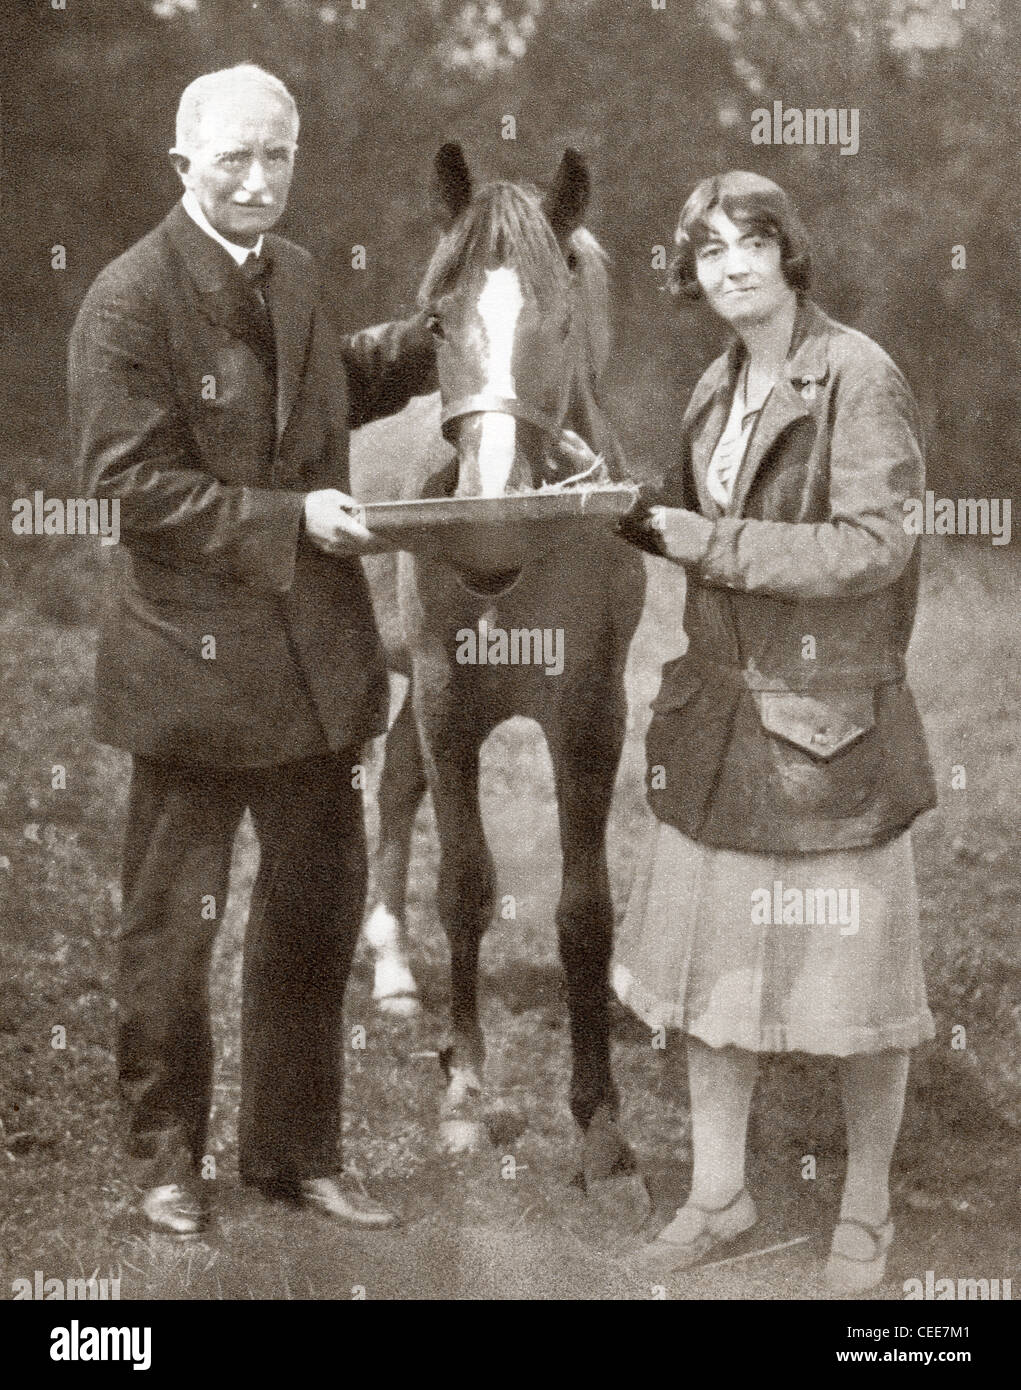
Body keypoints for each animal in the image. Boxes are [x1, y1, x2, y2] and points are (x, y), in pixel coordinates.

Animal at [351, 143, 647, 1195]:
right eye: (438, 322)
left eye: (561, 321)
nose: (485, 521)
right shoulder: (449, 698)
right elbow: (467, 887)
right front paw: (465, 1096)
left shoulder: (591, 715)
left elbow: (585, 909)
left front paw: (599, 1121)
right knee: (392, 787)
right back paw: (393, 967)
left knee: (396, 779)